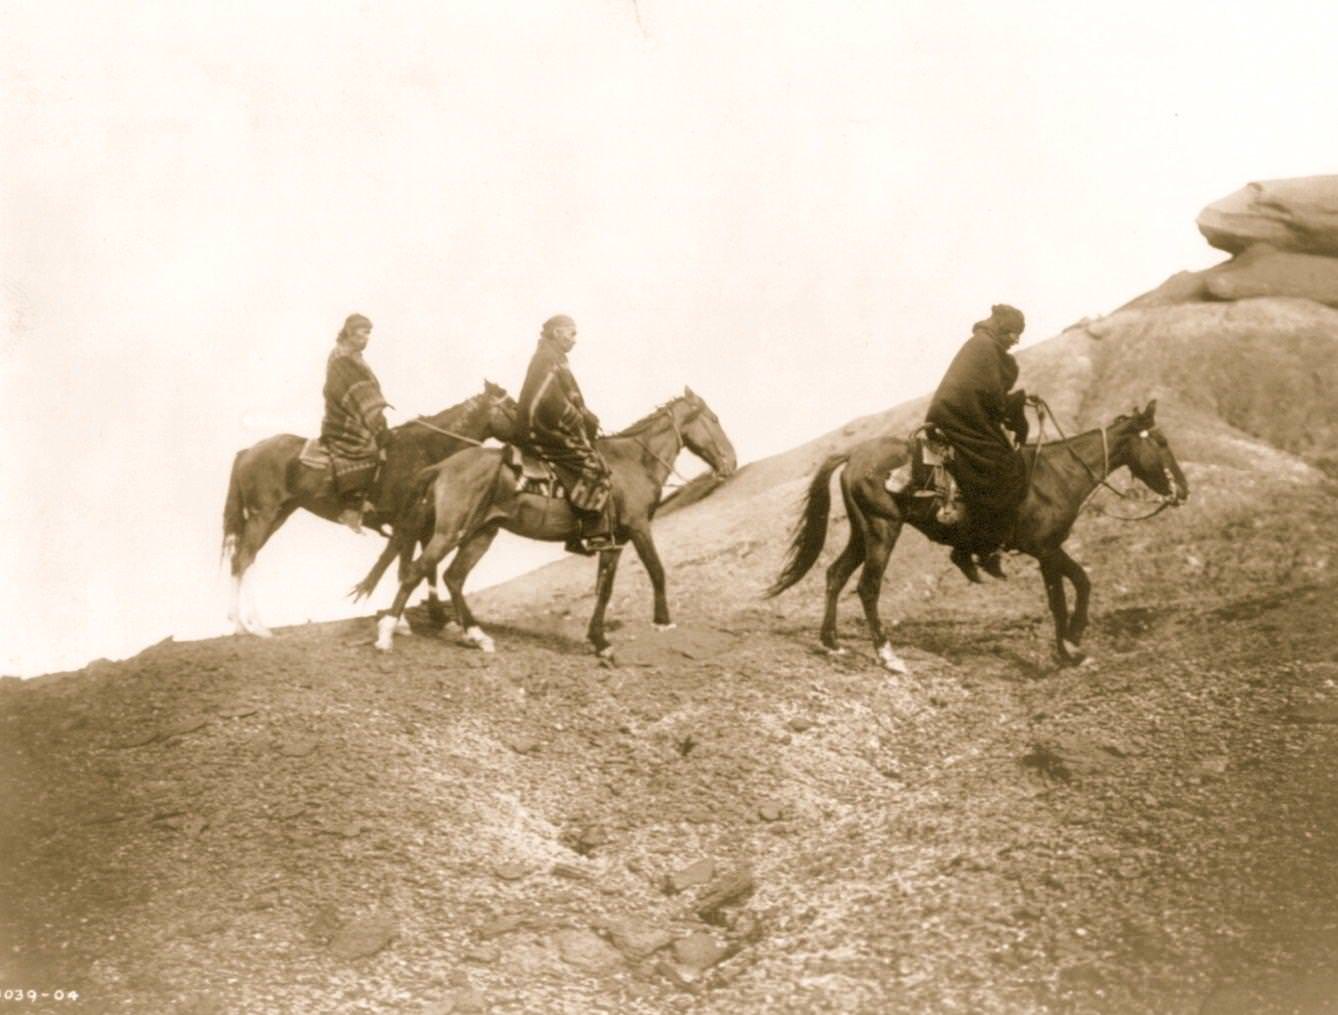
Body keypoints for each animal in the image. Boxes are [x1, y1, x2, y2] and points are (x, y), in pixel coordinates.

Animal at [219, 379, 516, 636]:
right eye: (513, 405)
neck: (427, 449)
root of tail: (247, 451)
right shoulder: (407, 524)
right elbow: (405, 568)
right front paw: (401, 622)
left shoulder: (424, 527)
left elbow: (424, 569)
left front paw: (439, 618)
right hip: (263, 515)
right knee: (244, 559)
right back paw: (254, 626)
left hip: (277, 515)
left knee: (242, 560)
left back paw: (242, 623)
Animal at [363, 387, 743, 657]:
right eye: (714, 418)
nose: (731, 462)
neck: (633, 463)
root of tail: (442, 466)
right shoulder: (637, 529)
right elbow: (656, 570)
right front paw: (663, 622)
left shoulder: (614, 540)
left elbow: (605, 588)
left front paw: (599, 640)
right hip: (449, 532)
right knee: (416, 571)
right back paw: (388, 634)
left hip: (482, 532)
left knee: (453, 577)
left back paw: (477, 636)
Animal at [770, 398, 1188, 673]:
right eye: (1162, 442)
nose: (1182, 490)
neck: (1056, 475)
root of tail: (854, 455)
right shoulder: (1045, 549)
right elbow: (1067, 594)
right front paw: (1070, 648)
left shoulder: (1049, 550)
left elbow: (1074, 588)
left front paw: (1070, 646)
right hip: (882, 530)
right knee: (867, 587)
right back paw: (888, 657)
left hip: (862, 532)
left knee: (835, 574)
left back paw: (833, 644)